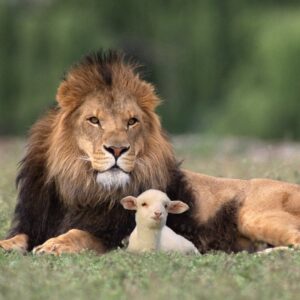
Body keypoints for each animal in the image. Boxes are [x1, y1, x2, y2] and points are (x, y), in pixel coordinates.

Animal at [0, 49, 300, 255]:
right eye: (94, 120)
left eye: (132, 121)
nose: (118, 149)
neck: (81, 187)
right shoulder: (33, 223)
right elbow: (19, 237)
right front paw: (7, 244)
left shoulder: (114, 236)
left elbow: (80, 233)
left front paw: (54, 245)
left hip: (254, 214)